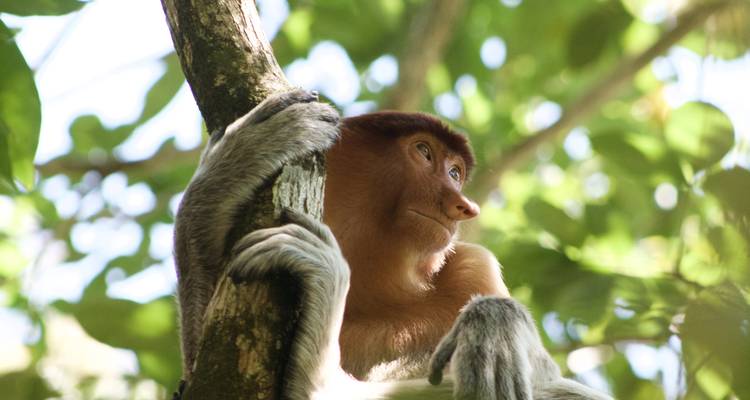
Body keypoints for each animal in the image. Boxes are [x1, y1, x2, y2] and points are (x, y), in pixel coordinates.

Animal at [174, 88, 612, 399]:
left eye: (456, 172)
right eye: (424, 152)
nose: (464, 206)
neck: (379, 290)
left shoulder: (474, 267)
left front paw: (494, 322)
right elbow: (207, 381)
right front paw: (229, 167)